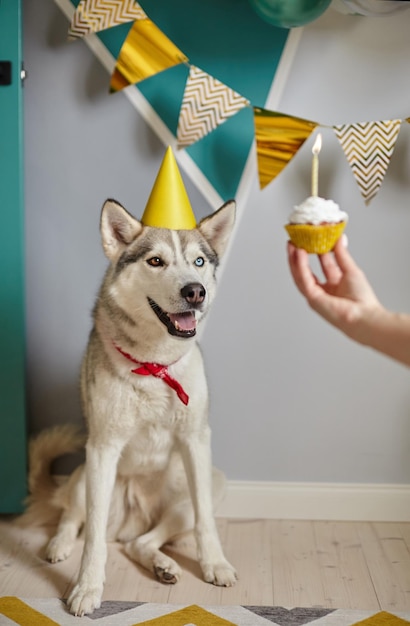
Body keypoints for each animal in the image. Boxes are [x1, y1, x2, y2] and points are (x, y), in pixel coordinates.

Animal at [24, 197, 237, 612]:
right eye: (155, 261)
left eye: (198, 261)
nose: (196, 291)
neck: (154, 364)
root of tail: (131, 521)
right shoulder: (102, 448)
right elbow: (91, 539)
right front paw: (87, 588)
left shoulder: (196, 441)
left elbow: (206, 520)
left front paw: (215, 563)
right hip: (83, 477)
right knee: (73, 517)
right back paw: (59, 544)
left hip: (207, 483)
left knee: (142, 542)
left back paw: (162, 564)